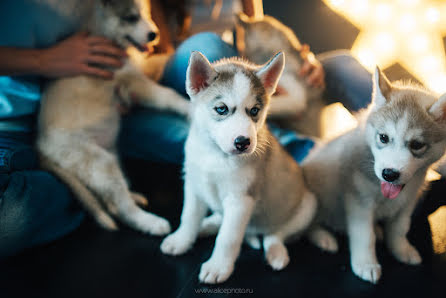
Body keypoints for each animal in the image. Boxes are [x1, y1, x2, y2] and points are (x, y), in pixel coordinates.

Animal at [35, 0, 188, 234]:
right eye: (131, 18)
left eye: (146, 14)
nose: (154, 35)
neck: (105, 36)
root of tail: (41, 147)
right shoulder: (133, 82)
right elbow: (167, 95)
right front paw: (190, 108)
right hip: (99, 162)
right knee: (123, 207)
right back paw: (151, 223)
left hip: (107, 155)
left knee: (112, 199)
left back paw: (134, 196)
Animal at [160, 51, 318, 284]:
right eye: (221, 109)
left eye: (254, 110)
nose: (243, 142)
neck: (215, 155)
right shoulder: (194, 185)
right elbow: (188, 217)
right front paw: (181, 241)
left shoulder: (241, 199)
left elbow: (228, 237)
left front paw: (218, 267)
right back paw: (206, 225)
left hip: (307, 205)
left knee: (275, 233)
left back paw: (276, 253)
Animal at [302, 67, 446, 284]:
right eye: (383, 138)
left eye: (417, 145)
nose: (389, 174)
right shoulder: (359, 203)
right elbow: (364, 236)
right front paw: (366, 264)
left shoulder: (408, 202)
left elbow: (399, 228)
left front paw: (401, 250)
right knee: (310, 225)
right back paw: (324, 238)